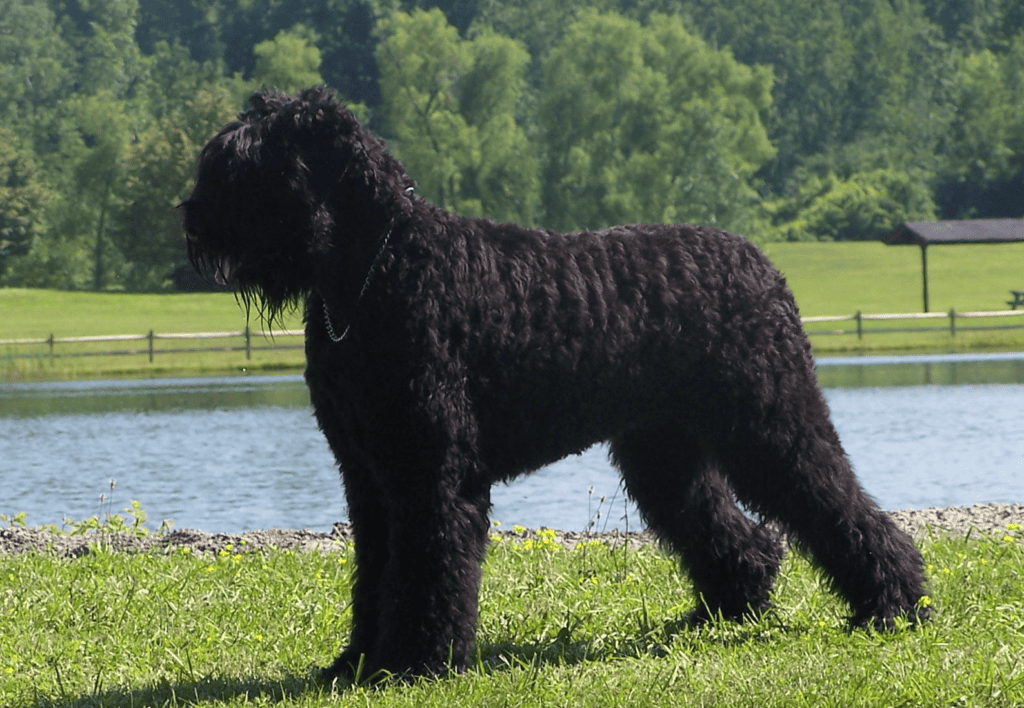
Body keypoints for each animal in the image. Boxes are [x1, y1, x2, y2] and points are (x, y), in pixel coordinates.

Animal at [182, 88, 929, 680]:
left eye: (249, 163)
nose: (190, 215)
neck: (377, 268)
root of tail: (762, 266)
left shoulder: (430, 472)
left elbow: (428, 567)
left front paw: (419, 661)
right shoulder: (369, 475)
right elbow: (376, 572)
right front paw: (359, 660)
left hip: (771, 424)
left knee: (835, 502)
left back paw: (895, 603)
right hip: (665, 451)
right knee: (736, 532)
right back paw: (725, 612)